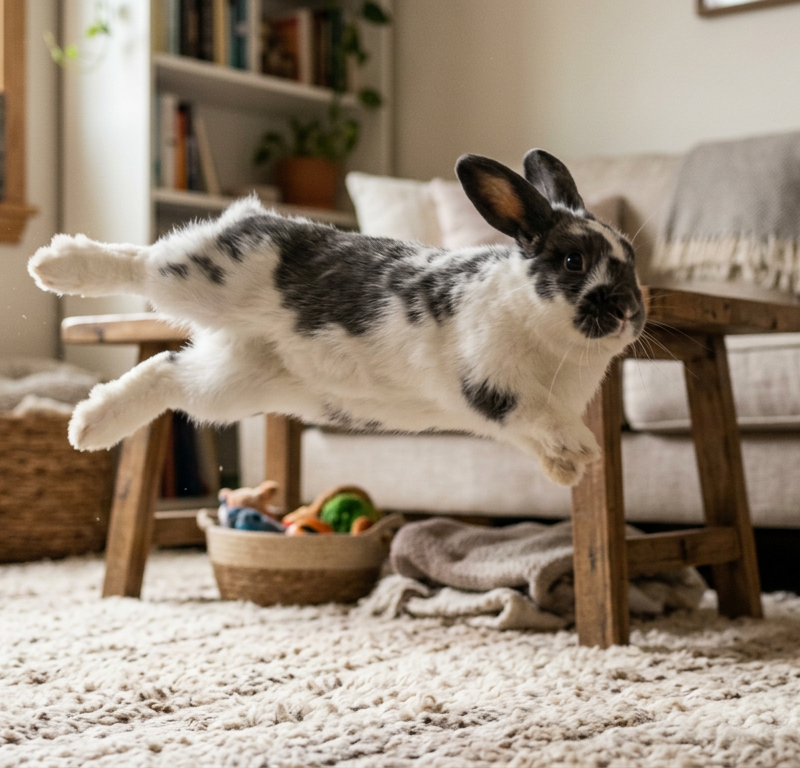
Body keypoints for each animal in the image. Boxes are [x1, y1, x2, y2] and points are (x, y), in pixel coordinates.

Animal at [28, 149, 645, 487]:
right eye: (573, 262)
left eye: (633, 259)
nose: (630, 313)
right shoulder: (493, 382)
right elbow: (536, 411)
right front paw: (584, 451)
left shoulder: (510, 421)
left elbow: (534, 435)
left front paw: (566, 469)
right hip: (210, 276)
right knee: (142, 264)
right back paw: (54, 265)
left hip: (229, 386)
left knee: (164, 373)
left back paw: (88, 426)